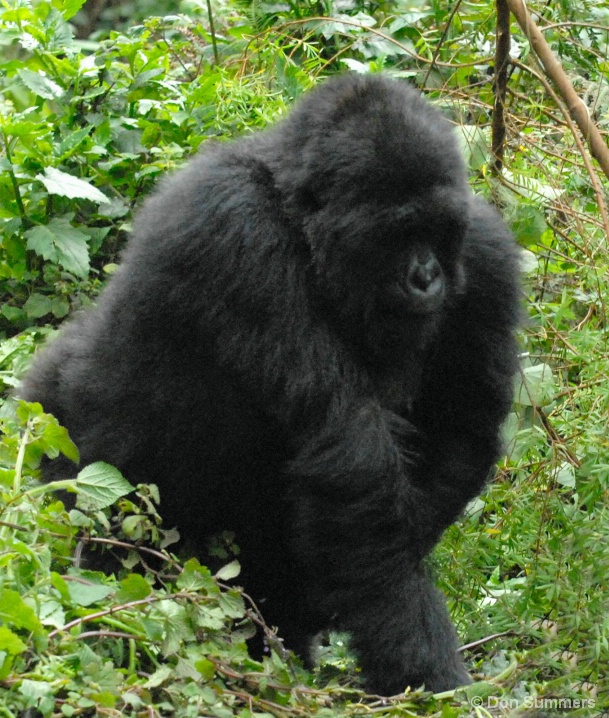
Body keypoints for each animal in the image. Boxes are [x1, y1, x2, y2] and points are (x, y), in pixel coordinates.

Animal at [21, 74, 520, 696]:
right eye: (398, 233)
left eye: (436, 231)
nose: (425, 277)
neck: (301, 219)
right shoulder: (238, 232)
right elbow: (353, 471)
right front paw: (421, 665)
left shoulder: (486, 254)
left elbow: (457, 439)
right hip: (54, 434)